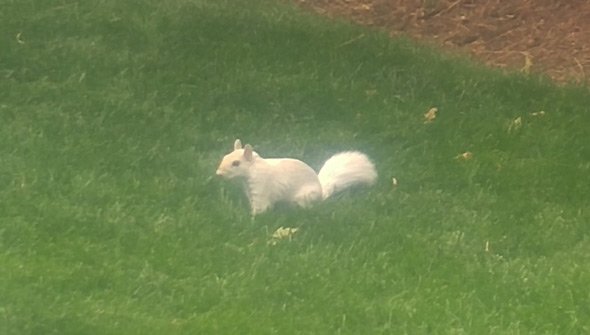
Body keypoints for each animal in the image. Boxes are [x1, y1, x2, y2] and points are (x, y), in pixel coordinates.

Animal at [217, 138, 380, 215]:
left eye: (236, 163)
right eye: (225, 156)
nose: (219, 174)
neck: (252, 171)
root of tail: (321, 193)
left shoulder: (261, 189)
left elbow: (260, 206)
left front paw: (253, 218)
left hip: (304, 197)